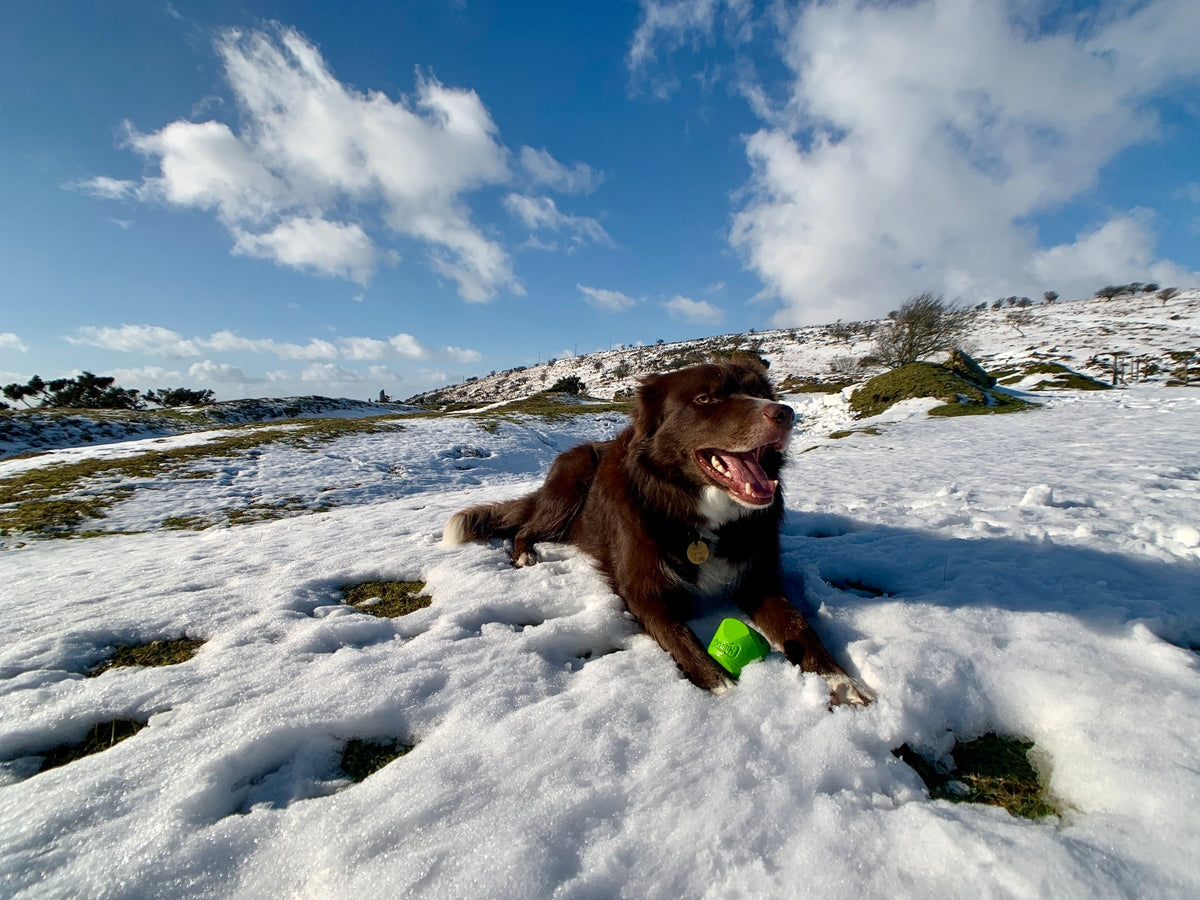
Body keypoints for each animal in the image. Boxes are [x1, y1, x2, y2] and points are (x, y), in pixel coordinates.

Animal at [441, 362, 873, 710]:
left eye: (762, 394)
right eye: (704, 398)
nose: (785, 413)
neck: (701, 518)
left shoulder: (758, 579)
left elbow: (800, 626)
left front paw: (841, 680)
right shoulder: (643, 590)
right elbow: (681, 637)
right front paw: (726, 692)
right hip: (569, 488)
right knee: (525, 528)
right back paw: (525, 555)